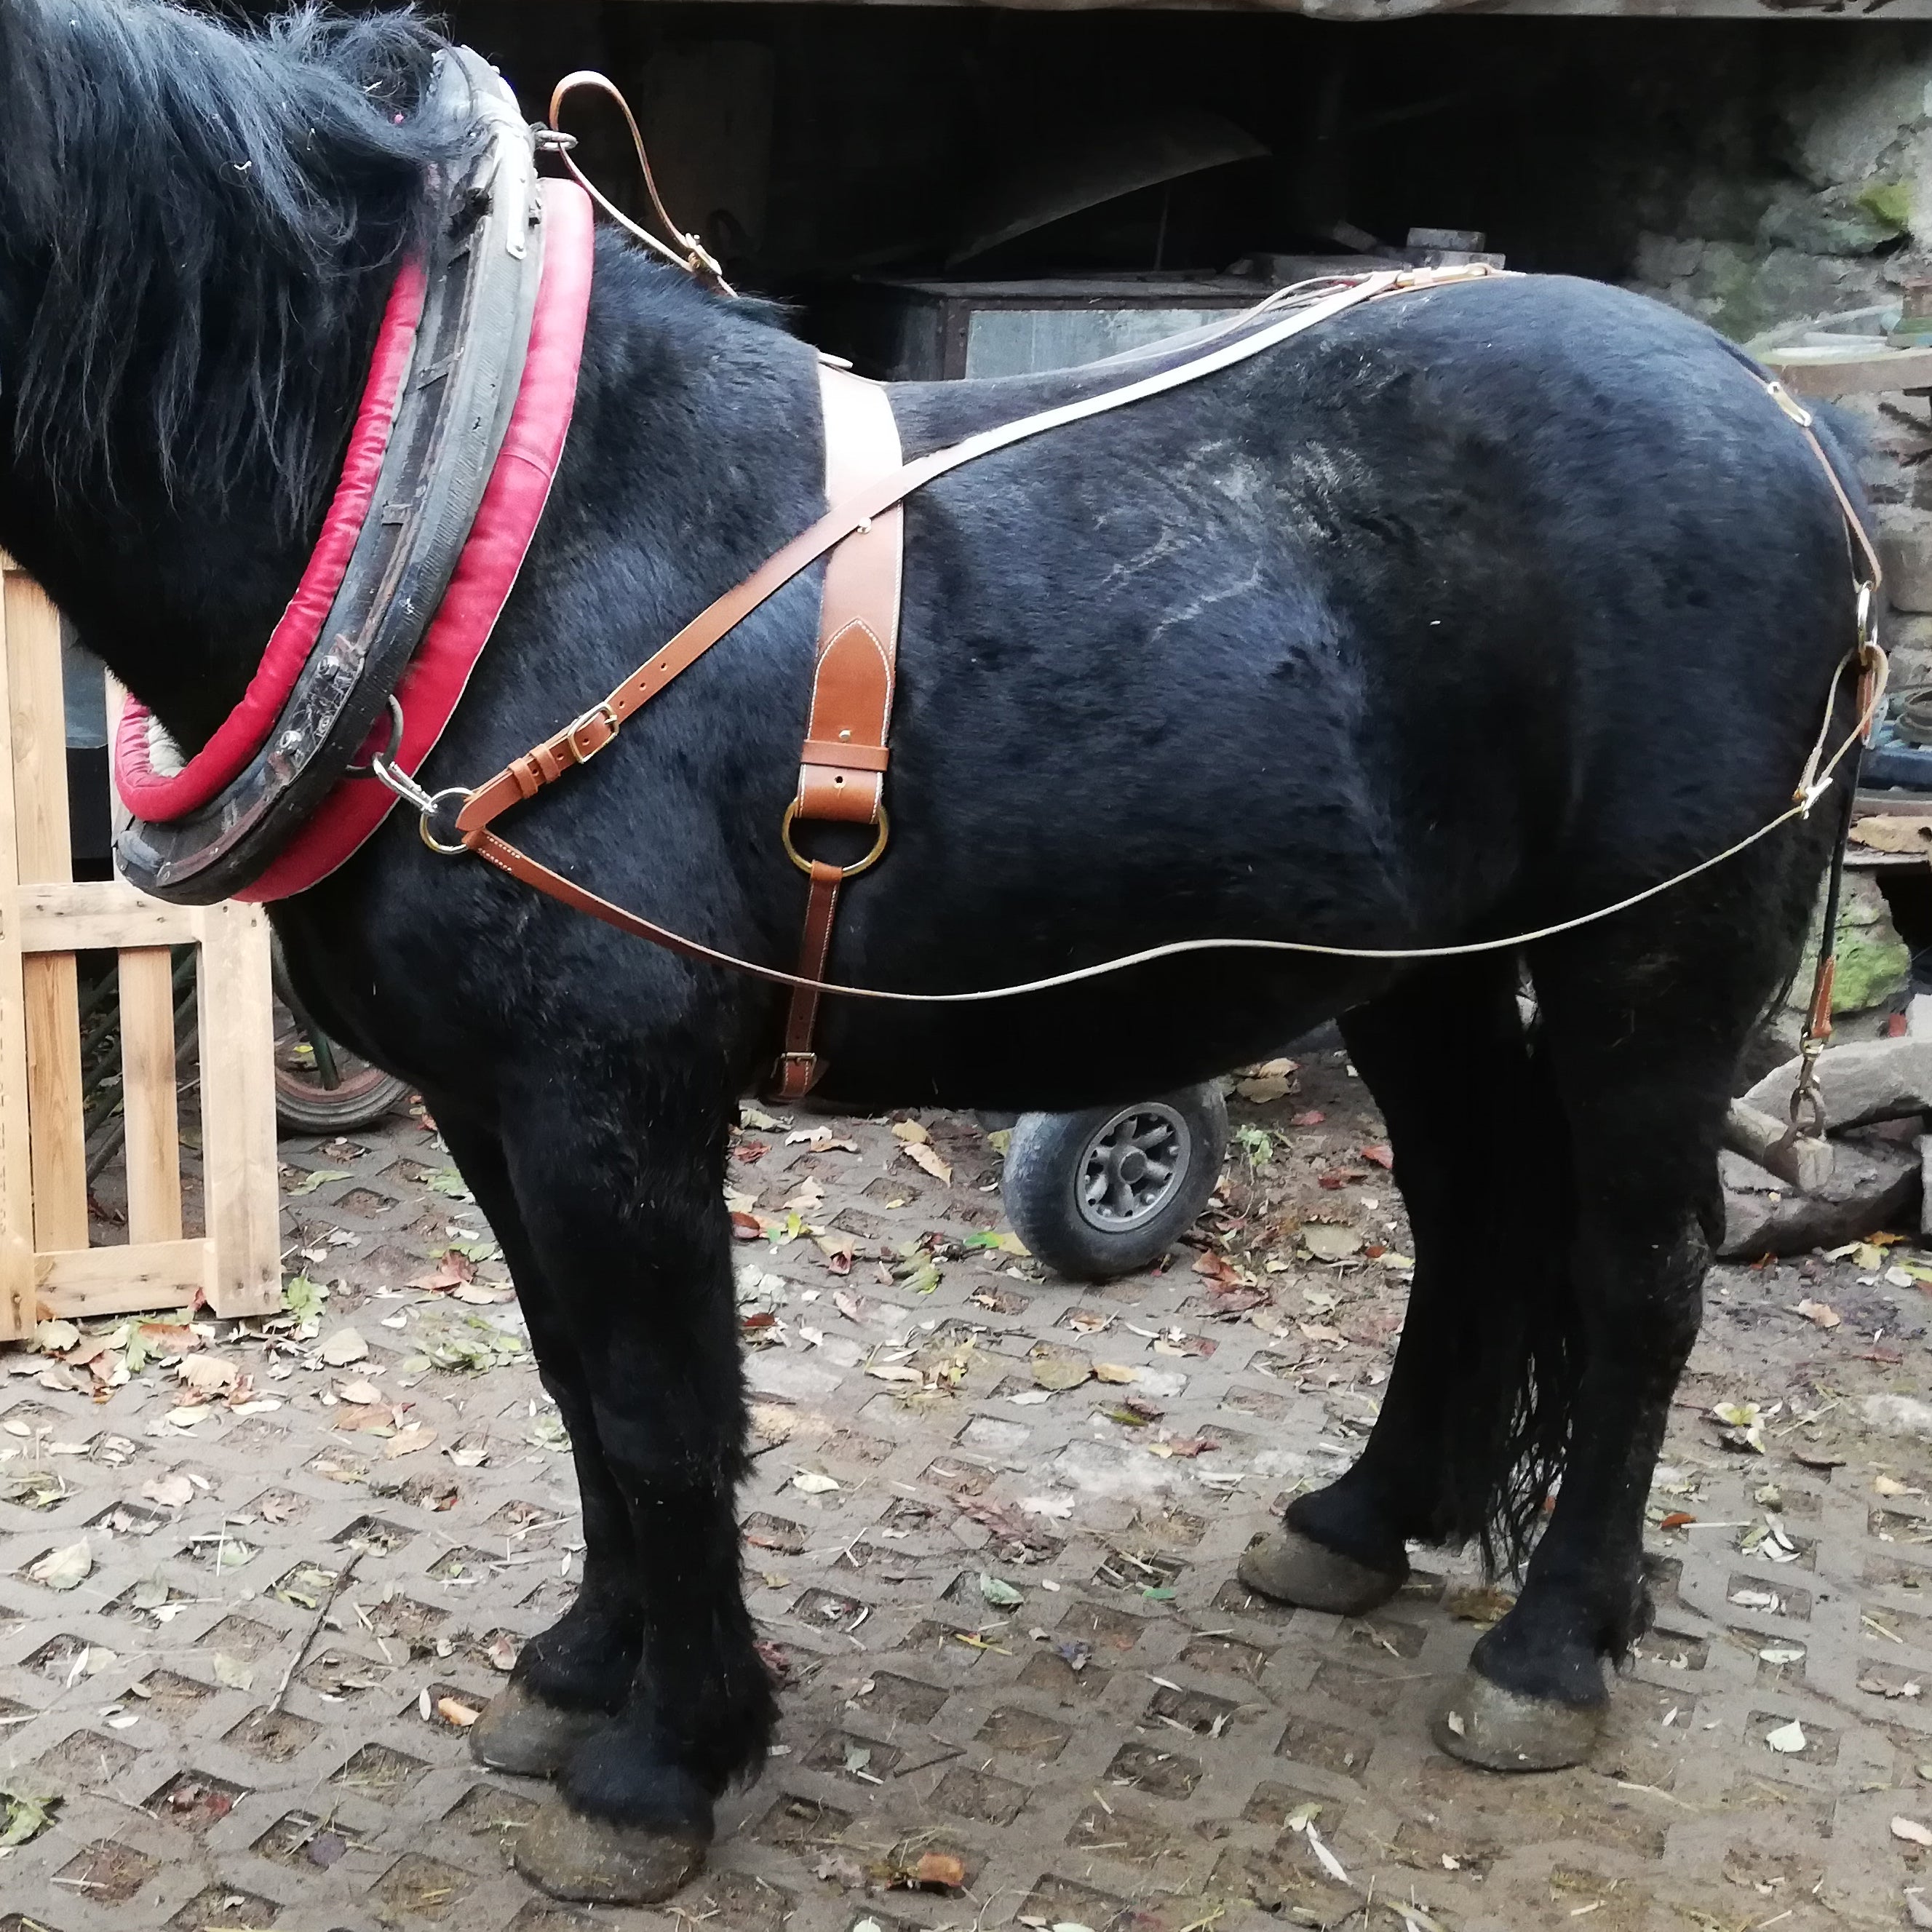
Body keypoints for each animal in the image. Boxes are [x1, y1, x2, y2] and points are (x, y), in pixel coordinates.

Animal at [0, 0, 1867, 1904]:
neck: (487, 539)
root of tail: (1790, 428)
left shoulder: (609, 1104)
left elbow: (662, 1412)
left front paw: (667, 1759)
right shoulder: (485, 1105)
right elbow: (574, 1382)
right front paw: (585, 1665)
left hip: (1652, 970)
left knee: (1640, 1277)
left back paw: (1551, 1647)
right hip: (1429, 974)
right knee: (1474, 1224)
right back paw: (1360, 1521)